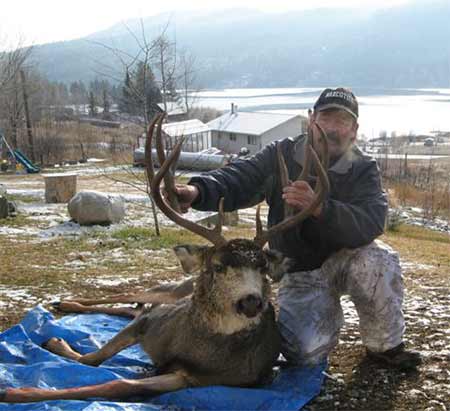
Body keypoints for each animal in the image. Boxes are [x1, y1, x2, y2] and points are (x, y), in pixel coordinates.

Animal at [1, 114, 328, 404]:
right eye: (217, 266)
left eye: (262, 268)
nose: (251, 302)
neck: (194, 345)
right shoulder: (148, 324)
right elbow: (94, 359)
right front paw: (51, 346)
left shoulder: (194, 379)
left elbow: (118, 384)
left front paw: (17, 391)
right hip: (168, 291)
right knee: (126, 297)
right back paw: (66, 302)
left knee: (129, 308)